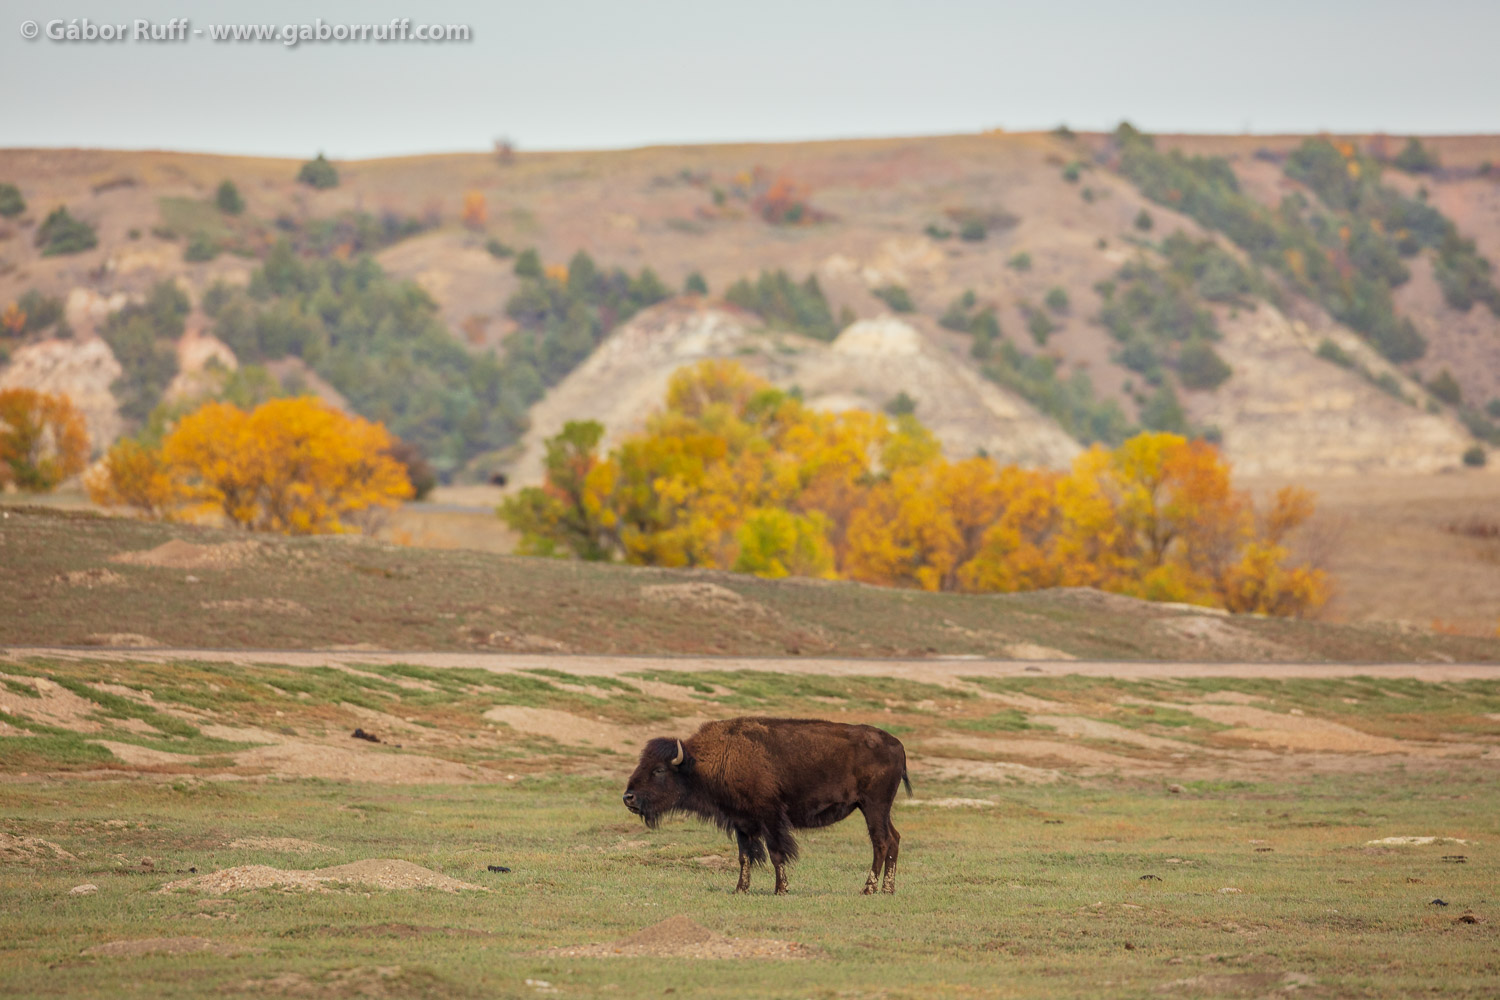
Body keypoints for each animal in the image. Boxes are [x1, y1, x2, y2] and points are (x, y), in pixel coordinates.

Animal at [618, 716, 906, 893]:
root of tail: (897, 745)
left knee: (880, 842)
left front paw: (781, 889)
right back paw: (888, 889)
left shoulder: (770, 818)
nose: (628, 798)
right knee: (893, 839)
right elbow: (744, 856)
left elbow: (776, 853)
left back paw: (868, 889)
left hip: (873, 806)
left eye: (658, 770)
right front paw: (739, 889)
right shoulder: (741, 822)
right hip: (880, 809)